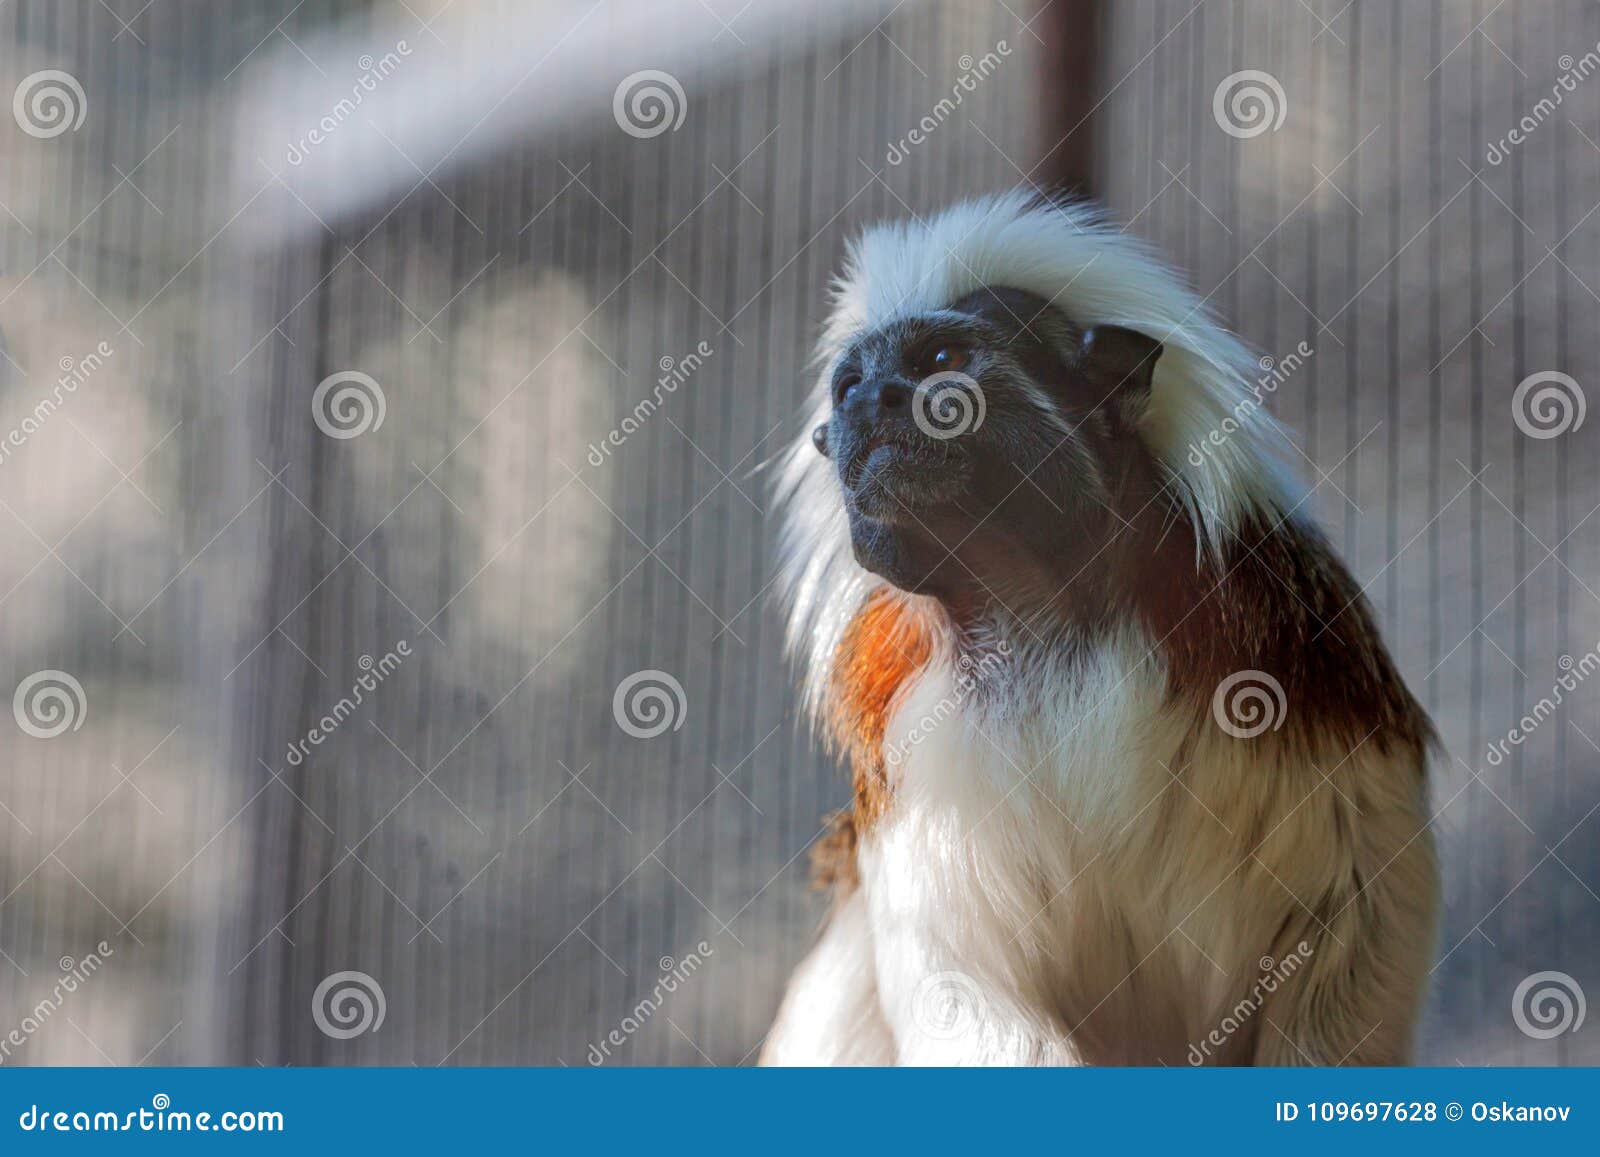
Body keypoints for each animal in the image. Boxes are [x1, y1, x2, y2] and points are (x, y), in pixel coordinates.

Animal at [761, 190, 1440, 1068]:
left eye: (942, 355)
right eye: (850, 385)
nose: (871, 401)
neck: (1041, 619)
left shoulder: (1292, 660)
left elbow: (1348, 929)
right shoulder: (907, 751)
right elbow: (957, 979)